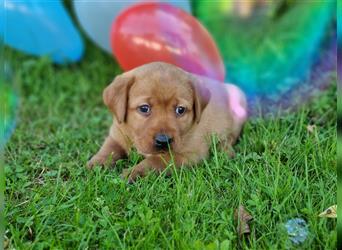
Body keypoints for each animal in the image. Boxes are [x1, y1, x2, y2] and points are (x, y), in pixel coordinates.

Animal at [88, 61, 247, 182]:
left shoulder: (189, 154)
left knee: (231, 137)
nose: (163, 140)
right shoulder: (117, 134)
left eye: (180, 110)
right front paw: (97, 163)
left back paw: (224, 150)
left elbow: (156, 160)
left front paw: (134, 172)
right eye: (144, 108)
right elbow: (109, 149)